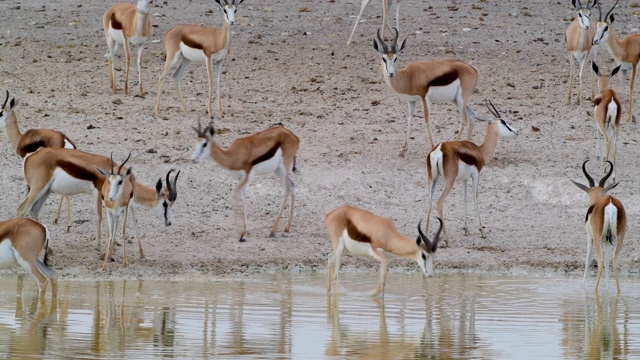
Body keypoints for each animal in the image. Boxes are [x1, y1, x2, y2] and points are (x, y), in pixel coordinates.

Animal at [0, 91, 77, 232]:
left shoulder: (24, 160)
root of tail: (65, 141)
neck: (21, 139)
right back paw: (58, 219)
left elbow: (27, 185)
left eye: (1, 112)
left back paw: (67, 224)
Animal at [18, 147, 179, 262]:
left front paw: (138, 255)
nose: (169, 222)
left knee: (34, 211)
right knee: (21, 209)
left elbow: (127, 221)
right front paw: (102, 252)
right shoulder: (100, 195)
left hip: (45, 191)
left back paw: (50, 250)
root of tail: (29, 157)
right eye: (165, 203)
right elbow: (101, 218)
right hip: (38, 189)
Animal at [372, 28, 478, 156]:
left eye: (396, 58)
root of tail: (472, 68)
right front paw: (403, 150)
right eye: (384, 58)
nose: (391, 73)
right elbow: (409, 119)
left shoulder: (424, 97)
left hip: (461, 99)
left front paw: (432, 147)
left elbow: (427, 119)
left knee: (464, 119)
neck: (409, 77)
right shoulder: (411, 101)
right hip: (457, 100)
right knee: (472, 117)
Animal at [424, 102, 520, 246]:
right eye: (503, 121)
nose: (516, 131)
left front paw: (466, 229)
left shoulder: (464, 179)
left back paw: (425, 235)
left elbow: (465, 198)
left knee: (429, 201)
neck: (479, 151)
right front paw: (482, 231)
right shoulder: (476, 175)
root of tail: (439, 149)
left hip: (433, 179)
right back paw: (446, 239)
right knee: (439, 202)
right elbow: (475, 197)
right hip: (449, 181)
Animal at [568, 160, 624, 292]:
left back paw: (595, 291)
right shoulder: (607, 241)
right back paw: (618, 292)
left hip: (598, 239)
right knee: (614, 260)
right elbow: (608, 262)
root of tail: (610, 201)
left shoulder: (590, 237)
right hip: (619, 237)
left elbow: (588, 260)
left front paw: (583, 286)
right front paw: (607, 287)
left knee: (600, 261)